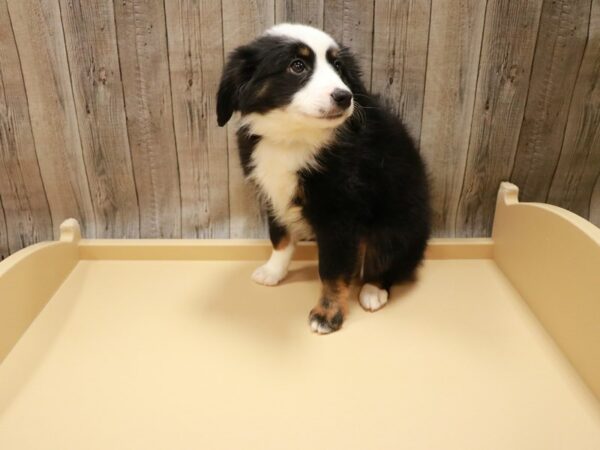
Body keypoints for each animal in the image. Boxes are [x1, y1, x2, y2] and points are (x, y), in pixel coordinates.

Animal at [218, 24, 428, 334]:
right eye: (297, 65)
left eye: (338, 66)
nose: (344, 96)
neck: (293, 137)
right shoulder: (273, 193)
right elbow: (280, 236)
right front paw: (273, 271)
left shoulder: (340, 213)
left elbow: (332, 270)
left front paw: (327, 314)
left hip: (396, 225)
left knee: (390, 258)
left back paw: (373, 290)